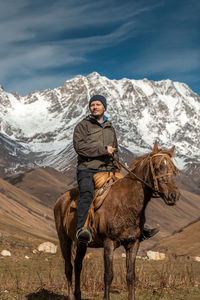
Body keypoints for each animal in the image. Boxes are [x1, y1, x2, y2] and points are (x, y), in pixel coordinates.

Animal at [54, 142, 180, 298]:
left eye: (173, 169)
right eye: (157, 167)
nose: (173, 195)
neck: (126, 204)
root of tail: (61, 199)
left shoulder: (133, 244)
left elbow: (130, 276)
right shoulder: (109, 243)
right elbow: (108, 275)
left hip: (81, 242)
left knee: (78, 265)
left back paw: (78, 295)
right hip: (64, 239)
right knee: (69, 267)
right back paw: (71, 296)